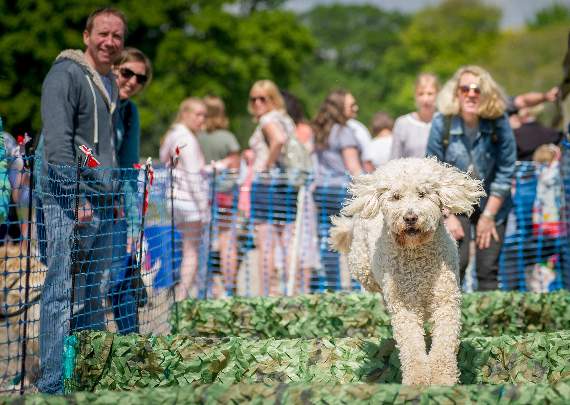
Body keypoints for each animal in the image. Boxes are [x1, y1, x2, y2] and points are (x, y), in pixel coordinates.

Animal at [328, 156, 484, 384]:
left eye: (422, 194)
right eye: (396, 197)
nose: (410, 217)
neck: (417, 258)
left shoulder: (446, 302)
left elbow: (445, 343)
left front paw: (442, 378)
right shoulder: (405, 308)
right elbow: (411, 346)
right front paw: (418, 380)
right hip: (362, 266)